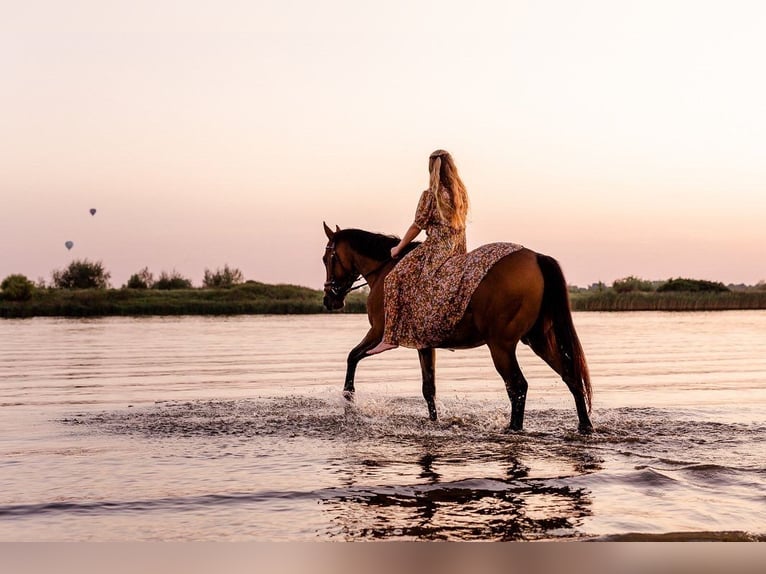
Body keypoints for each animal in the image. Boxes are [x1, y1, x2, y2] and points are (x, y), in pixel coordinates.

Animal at [322, 223, 592, 434]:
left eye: (327, 259)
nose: (329, 300)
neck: (386, 268)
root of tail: (535, 257)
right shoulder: (424, 344)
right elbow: (429, 388)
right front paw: (434, 422)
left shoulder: (379, 332)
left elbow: (352, 357)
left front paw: (349, 399)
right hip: (539, 339)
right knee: (570, 376)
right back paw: (584, 426)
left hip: (501, 346)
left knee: (518, 386)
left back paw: (513, 429)